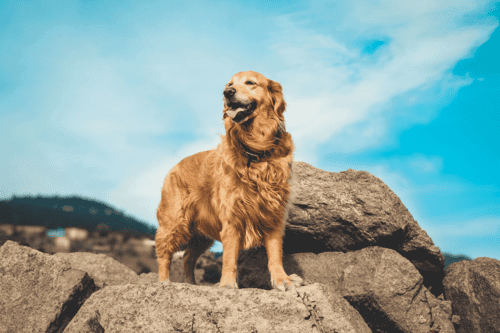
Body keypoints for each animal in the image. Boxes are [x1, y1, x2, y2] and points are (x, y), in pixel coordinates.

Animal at [156, 70, 302, 290]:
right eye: (229, 84)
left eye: (250, 83)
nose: (227, 92)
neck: (255, 150)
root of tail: (173, 167)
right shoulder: (232, 216)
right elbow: (230, 256)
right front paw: (226, 284)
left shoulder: (273, 214)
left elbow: (275, 254)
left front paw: (282, 279)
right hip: (175, 220)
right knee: (164, 251)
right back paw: (164, 281)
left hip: (201, 234)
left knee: (188, 257)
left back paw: (191, 283)